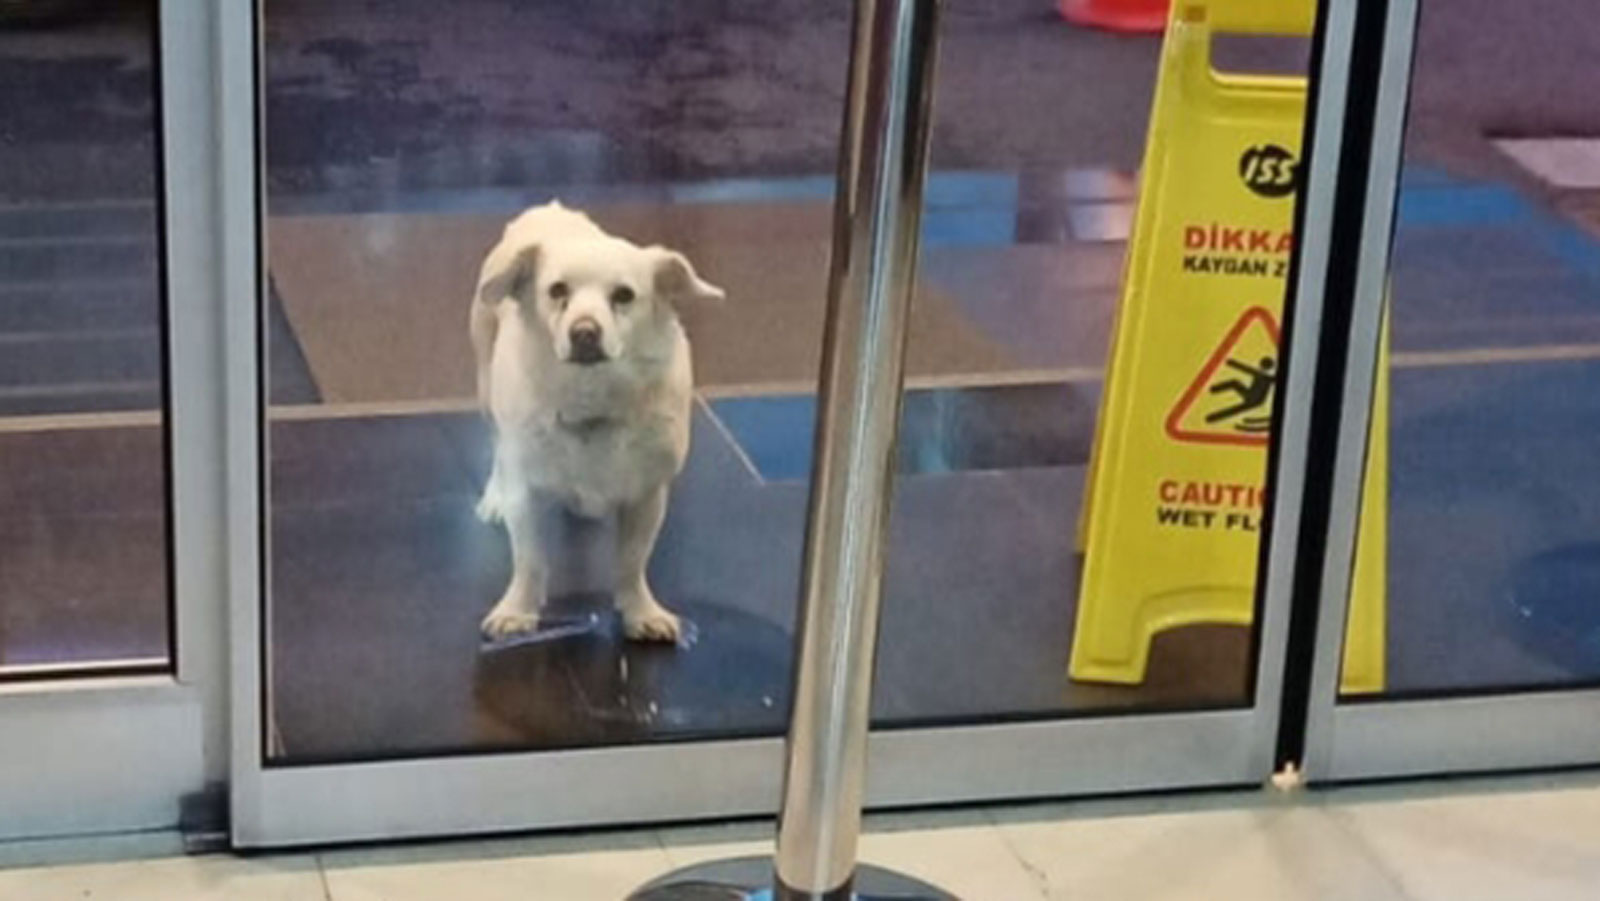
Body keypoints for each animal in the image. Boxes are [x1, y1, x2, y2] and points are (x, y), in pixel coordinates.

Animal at [467, 203, 726, 640]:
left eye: (624, 296)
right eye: (557, 291)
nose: (584, 331)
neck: (591, 397)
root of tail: (548, 209)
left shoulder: (648, 495)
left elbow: (632, 562)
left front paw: (641, 612)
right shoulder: (528, 493)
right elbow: (530, 559)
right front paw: (517, 610)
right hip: (487, 383)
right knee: (497, 446)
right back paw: (493, 497)